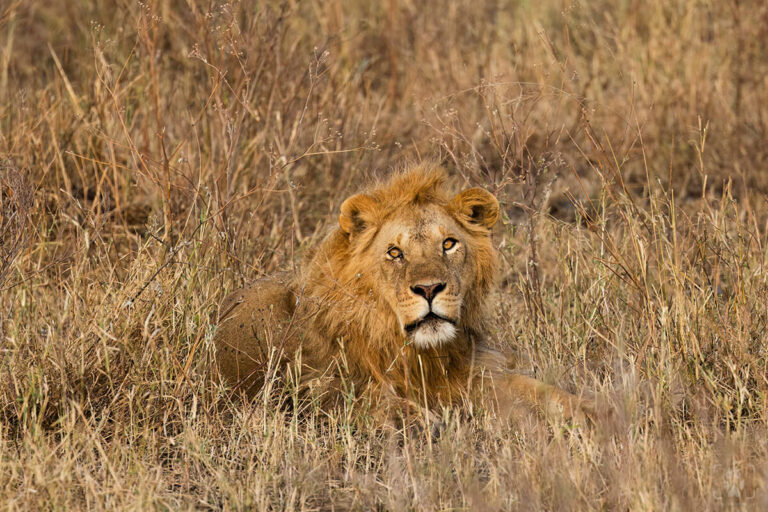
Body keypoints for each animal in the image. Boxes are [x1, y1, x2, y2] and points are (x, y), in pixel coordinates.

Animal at [215, 164, 595, 421]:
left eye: (449, 244)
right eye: (395, 252)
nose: (429, 289)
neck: (418, 352)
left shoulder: (470, 372)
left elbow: (540, 393)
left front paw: (594, 412)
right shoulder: (310, 382)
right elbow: (360, 398)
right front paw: (423, 422)